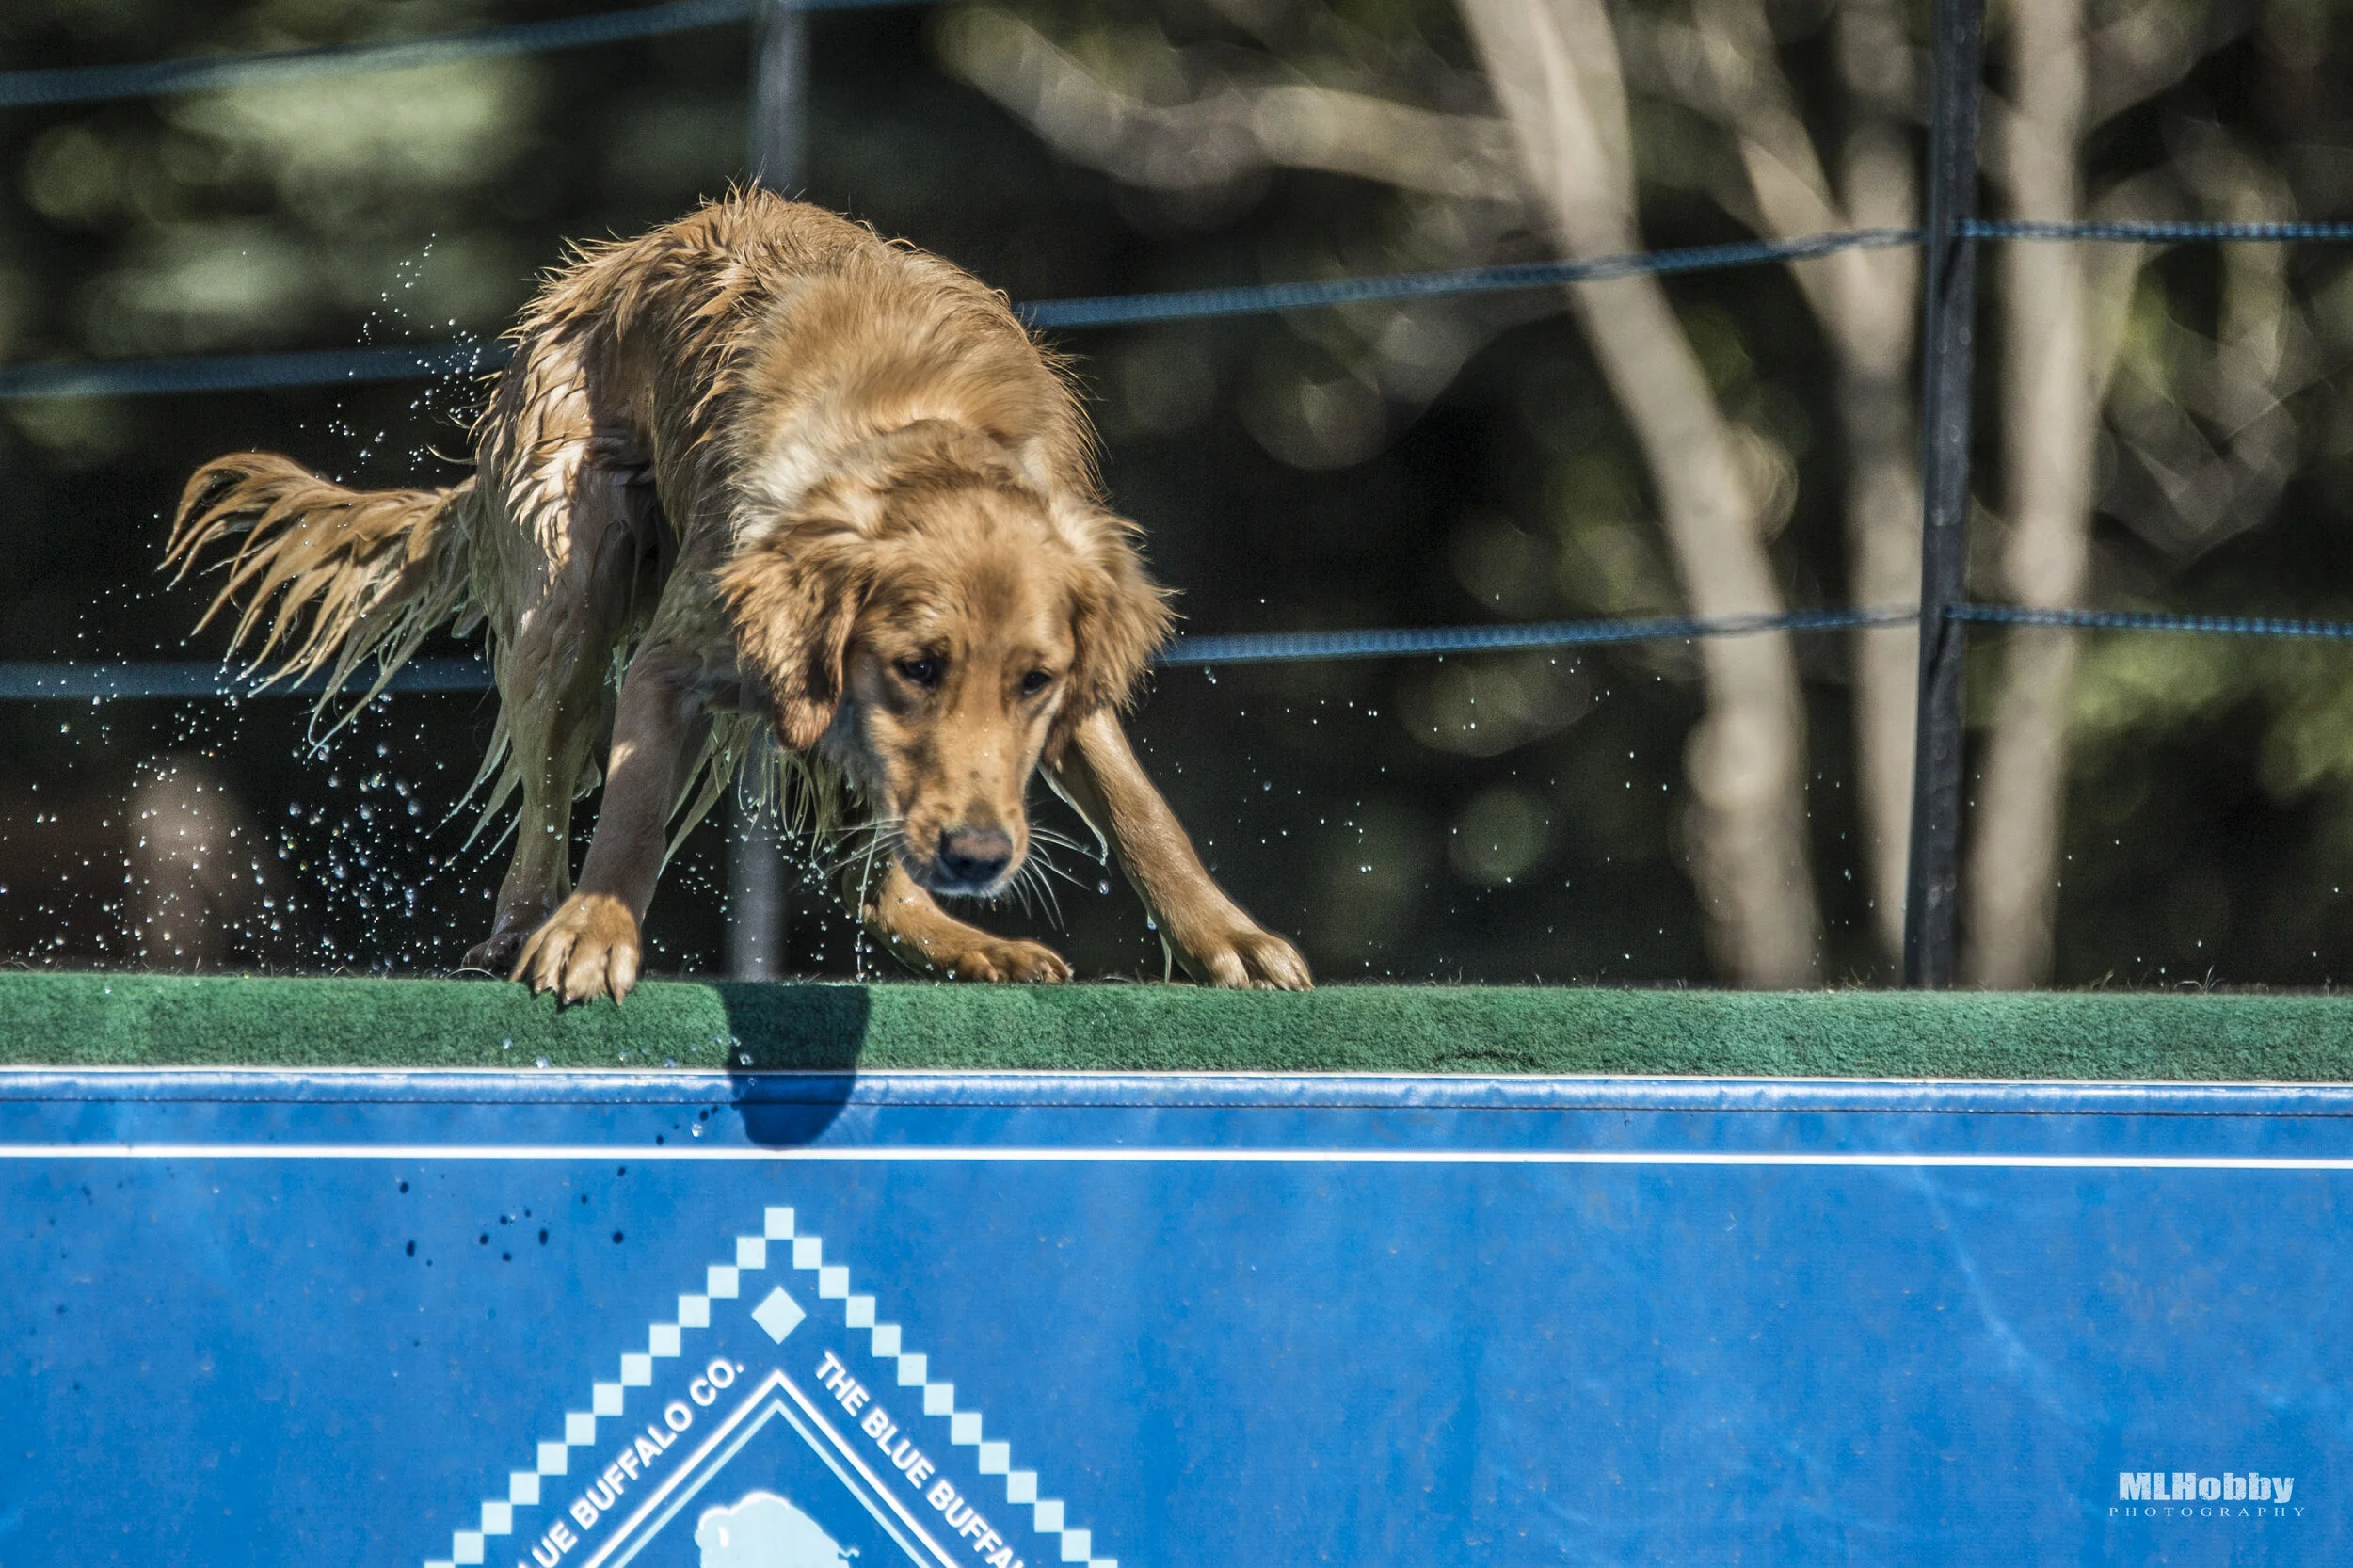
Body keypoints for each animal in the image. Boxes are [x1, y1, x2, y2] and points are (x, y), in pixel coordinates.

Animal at [166, 192, 1311, 1001]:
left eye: (1035, 682)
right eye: (917, 665)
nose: (981, 856)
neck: (915, 426)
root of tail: (596, 268)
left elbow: (1140, 805)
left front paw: (1228, 939)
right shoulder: (681, 654)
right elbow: (628, 811)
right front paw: (593, 933)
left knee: (869, 881)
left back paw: (965, 942)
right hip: (568, 600)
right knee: (545, 805)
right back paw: (524, 926)